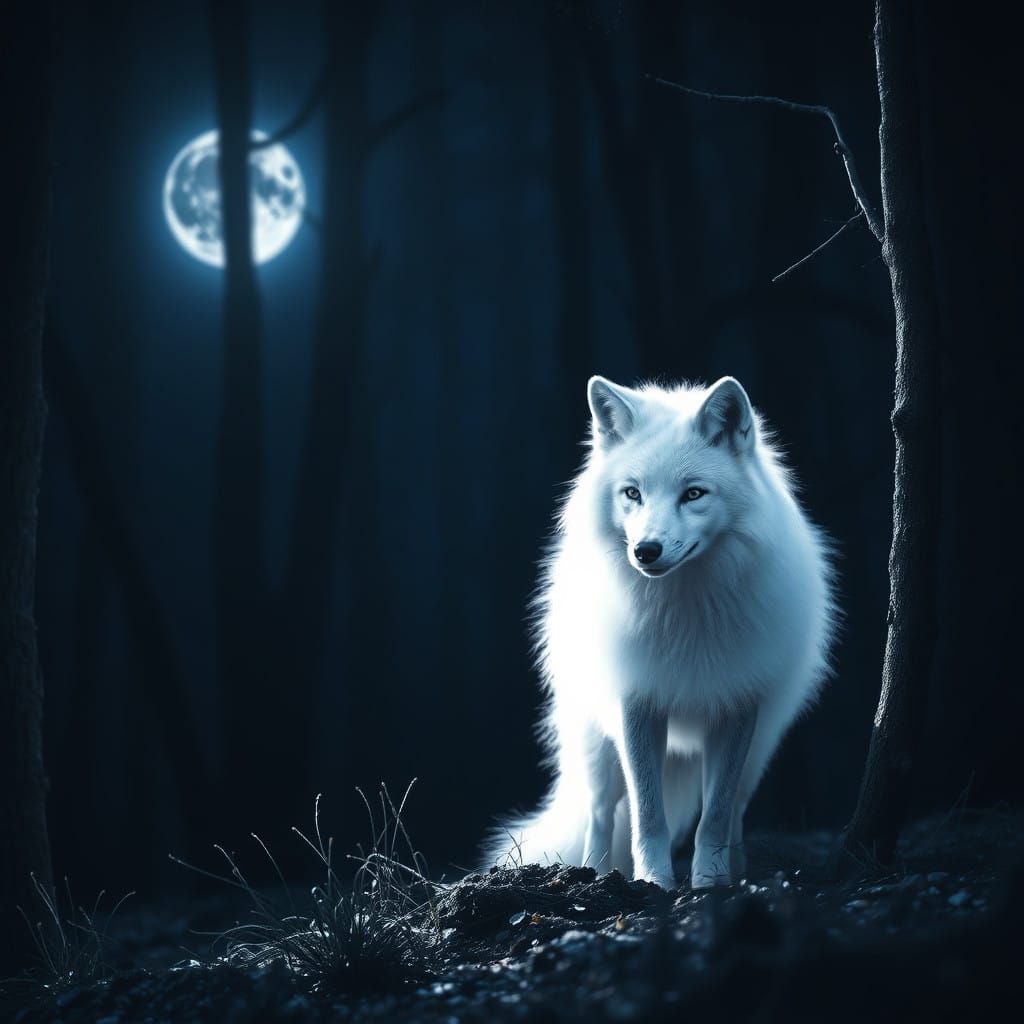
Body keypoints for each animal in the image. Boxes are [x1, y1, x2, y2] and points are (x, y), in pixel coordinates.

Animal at [484, 375, 837, 889]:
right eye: (633, 493)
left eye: (693, 494)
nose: (645, 551)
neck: (686, 611)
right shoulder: (637, 701)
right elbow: (648, 815)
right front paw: (654, 883)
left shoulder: (737, 706)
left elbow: (714, 817)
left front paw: (709, 882)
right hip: (598, 747)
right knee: (601, 813)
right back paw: (595, 873)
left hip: (758, 747)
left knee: (735, 809)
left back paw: (737, 870)